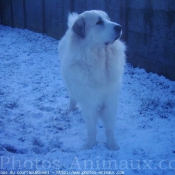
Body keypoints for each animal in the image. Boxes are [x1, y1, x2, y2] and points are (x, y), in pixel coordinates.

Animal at [58, 10, 126, 150]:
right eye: (99, 22)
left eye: (108, 19)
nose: (120, 27)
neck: (100, 59)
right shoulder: (88, 103)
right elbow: (91, 128)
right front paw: (90, 144)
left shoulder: (111, 101)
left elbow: (109, 128)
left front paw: (111, 145)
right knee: (72, 97)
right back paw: (71, 110)